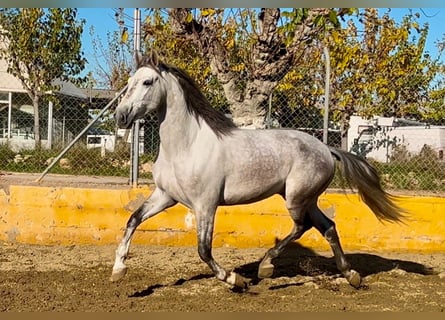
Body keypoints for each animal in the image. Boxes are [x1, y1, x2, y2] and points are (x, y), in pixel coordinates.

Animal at [109, 51, 404, 288]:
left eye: (147, 82)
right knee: (327, 227)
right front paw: (118, 270)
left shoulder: (205, 204)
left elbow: (204, 249)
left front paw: (235, 280)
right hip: (303, 198)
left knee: (303, 226)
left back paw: (266, 267)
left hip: (297, 198)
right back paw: (351, 275)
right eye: (129, 83)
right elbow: (133, 220)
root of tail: (326, 149)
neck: (186, 146)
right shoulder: (165, 196)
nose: (121, 116)